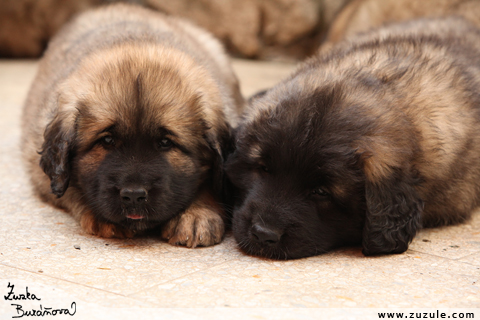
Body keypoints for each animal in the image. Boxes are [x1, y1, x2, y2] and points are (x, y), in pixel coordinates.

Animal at [21, 3, 244, 248]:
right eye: (107, 140)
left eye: (165, 142)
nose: (134, 195)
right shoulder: (41, 174)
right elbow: (69, 188)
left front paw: (196, 215)